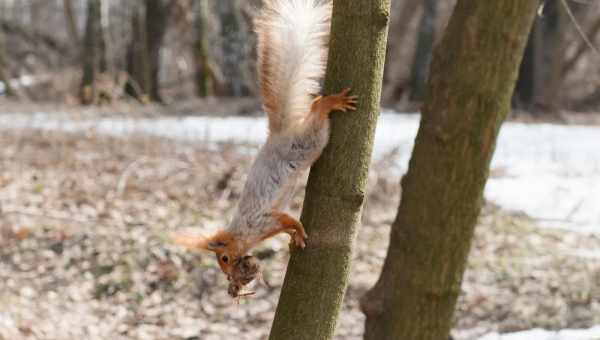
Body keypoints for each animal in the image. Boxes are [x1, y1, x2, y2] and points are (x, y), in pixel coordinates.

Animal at [172, 0, 356, 276]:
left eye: (224, 257)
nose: (229, 276)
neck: (243, 232)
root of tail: (280, 133)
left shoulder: (262, 219)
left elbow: (287, 219)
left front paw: (299, 230)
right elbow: (285, 225)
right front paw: (293, 236)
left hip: (309, 141)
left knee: (318, 113)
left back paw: (329, 103)